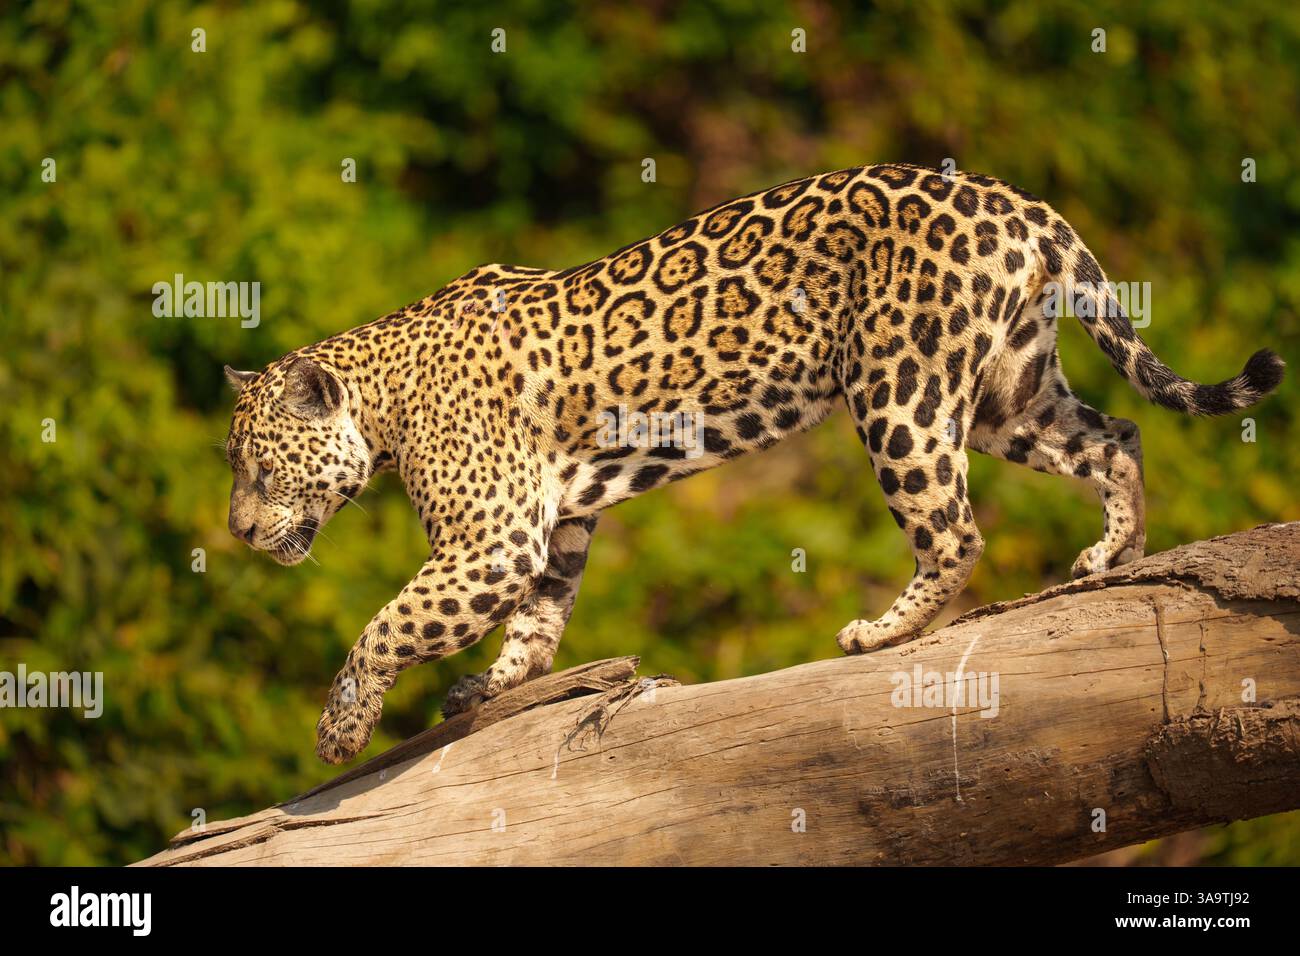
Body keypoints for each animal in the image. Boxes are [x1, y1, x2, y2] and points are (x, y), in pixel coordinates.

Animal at [222, 163, 1285, 764]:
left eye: (259, 471)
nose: (234, 531)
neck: (382, 401)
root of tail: (1013, 196)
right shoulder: (552, 525)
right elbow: (536, 624)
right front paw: (494, 687)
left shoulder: (489, 539)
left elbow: (387, 626)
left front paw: (340, 729)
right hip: (1007, 395)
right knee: (1118, 436)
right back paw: (1116, 556)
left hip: (900, 390)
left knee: (953, 530)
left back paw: (882, 633)